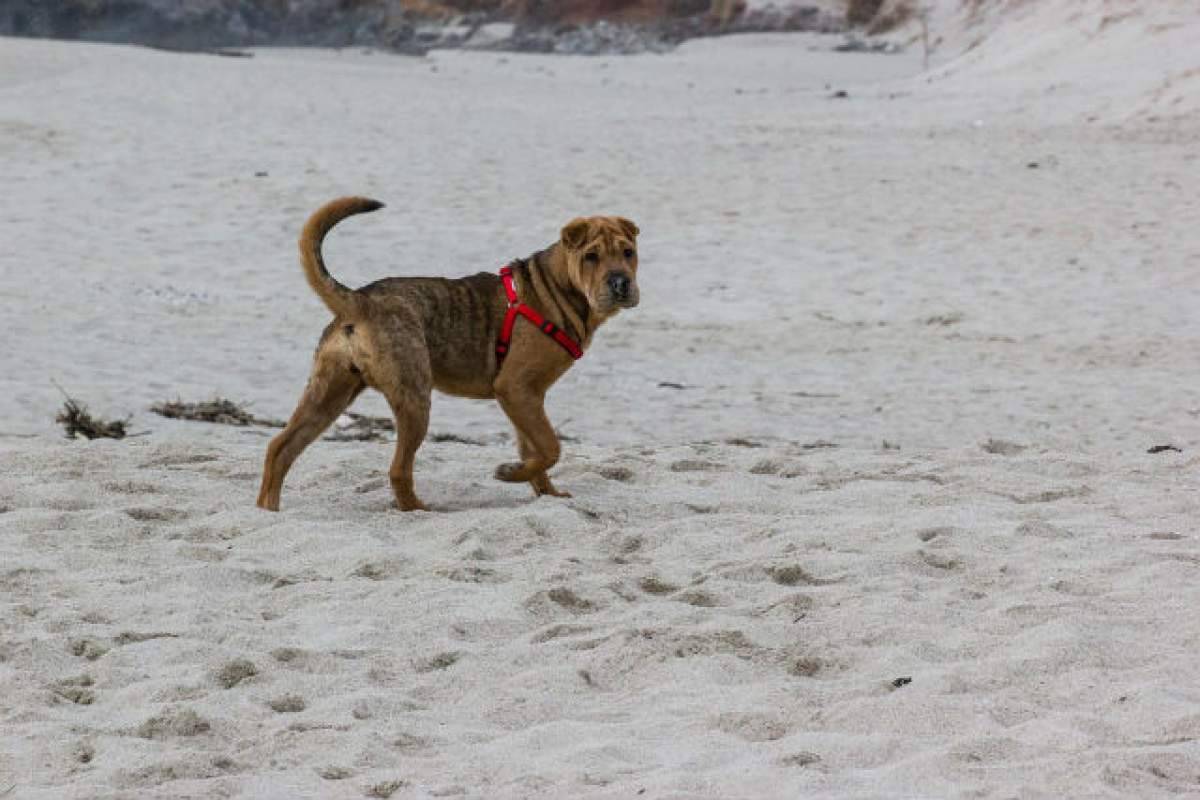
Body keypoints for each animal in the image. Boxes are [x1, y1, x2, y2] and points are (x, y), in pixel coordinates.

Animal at [258, 199, 643, 513]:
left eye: (628, 252)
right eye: (591, 256)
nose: (621, 283)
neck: (558, 288)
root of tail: (360, 301)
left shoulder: (526, 397)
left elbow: (534, 450)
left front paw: (542, 490)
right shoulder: (516, 388)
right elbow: (550, 447)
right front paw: (510, 474)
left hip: (328, 394)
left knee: (280, 448)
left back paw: (269, 511)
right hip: (414, 398)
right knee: (398, 470)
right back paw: (418, 510)